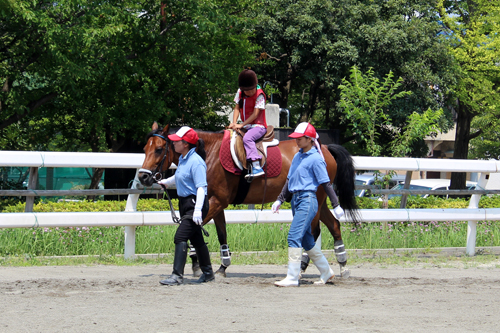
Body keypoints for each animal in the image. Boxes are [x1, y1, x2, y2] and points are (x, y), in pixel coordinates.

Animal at [139, 122, 362, 274]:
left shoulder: (216, 202)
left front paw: (196, 263)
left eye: (158, 149)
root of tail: (324, 148)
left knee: (315, 230)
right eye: (144, 149)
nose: (143, 176)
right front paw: (222, 266)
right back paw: (342, 265)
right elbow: (221, 234)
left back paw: (305, 265)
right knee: (334, 225)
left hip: (315, 197)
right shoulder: (215, 203)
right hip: (321, 201)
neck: (208, 153)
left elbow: (194, 227)